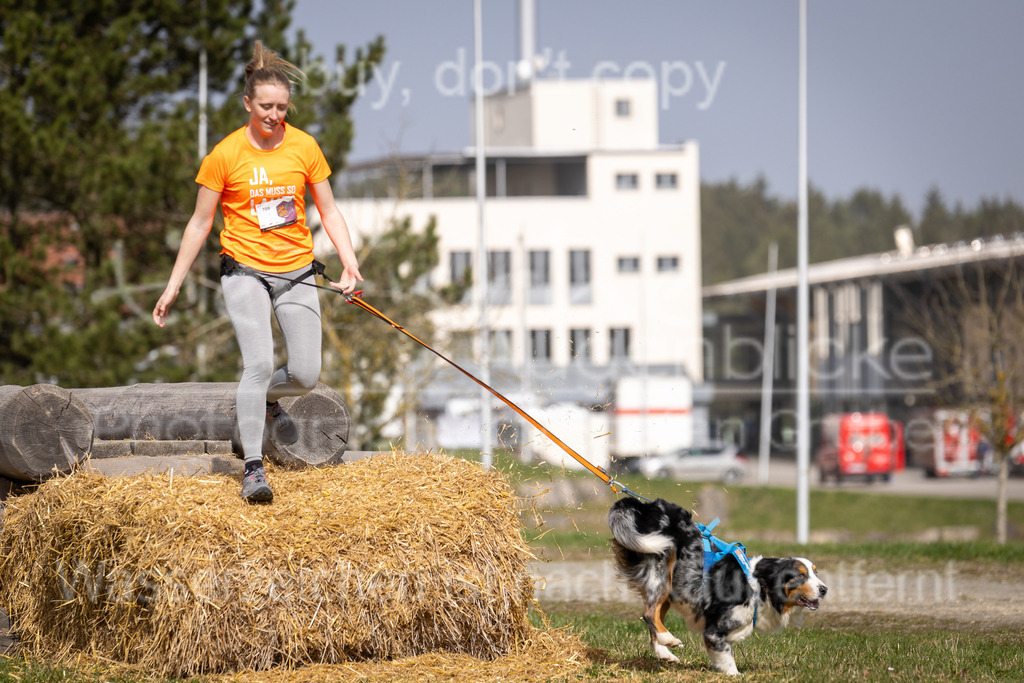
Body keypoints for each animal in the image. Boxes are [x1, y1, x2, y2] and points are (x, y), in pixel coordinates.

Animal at [606, 497, 823, 679]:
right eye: (800, 575)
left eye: (815, 572)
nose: (824, 589)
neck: (757, 588)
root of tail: (645, 506)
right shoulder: (714, 631)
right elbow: (727, 658)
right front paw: (735, 675)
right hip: (660, 570)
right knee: (649, 613)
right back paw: (669, 639)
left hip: (670, 589)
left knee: (654, 617)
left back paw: (665, 652)